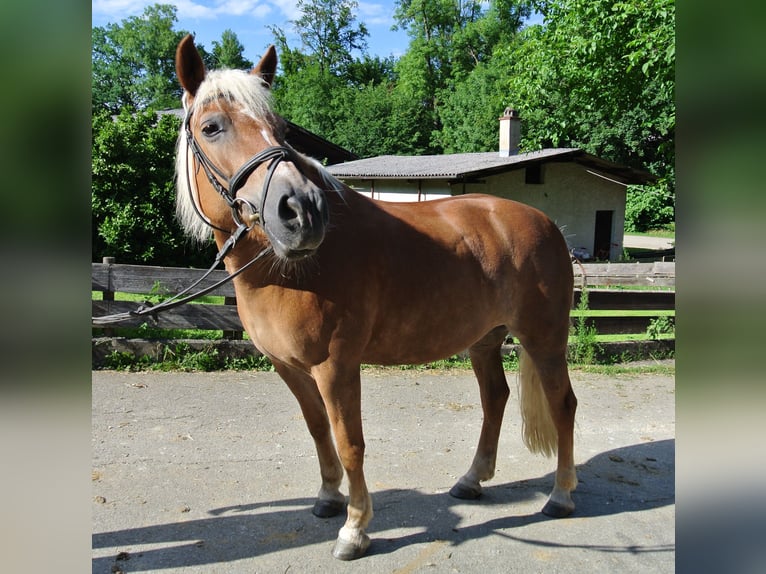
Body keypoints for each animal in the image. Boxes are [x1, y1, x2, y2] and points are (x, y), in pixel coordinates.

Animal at [176, 36, 576, 564]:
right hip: (485, 341)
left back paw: (561, 495)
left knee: (563, 404)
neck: (290, 271)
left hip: (544, 339)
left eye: (279, 129)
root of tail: (546, 223)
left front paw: (355, 529)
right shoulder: (290, 367)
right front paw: (328, 497)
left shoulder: (336, 366)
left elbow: (350, 443)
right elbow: (318, 429)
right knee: (496, 398)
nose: (301, 211)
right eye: (211, 127)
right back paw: (472, 480)